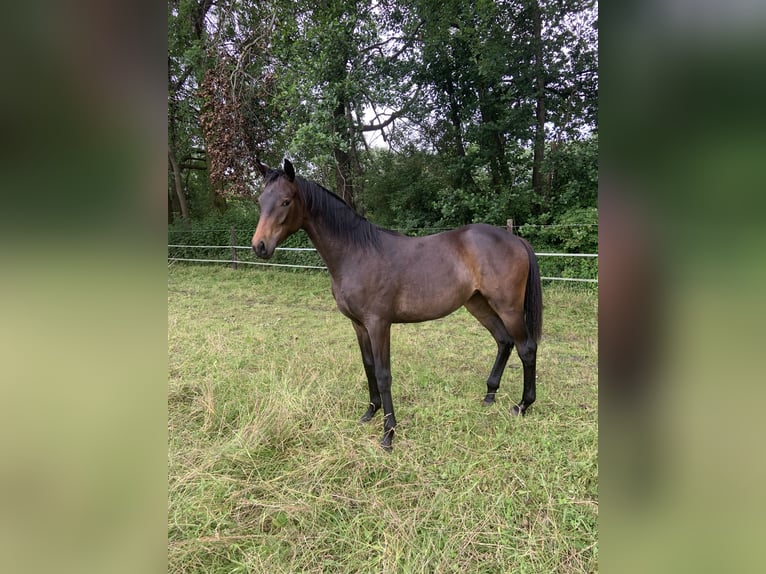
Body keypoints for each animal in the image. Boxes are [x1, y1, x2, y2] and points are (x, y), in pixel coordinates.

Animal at [252, 159, 540, 450]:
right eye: (260, 201)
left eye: (286, 201)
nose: (259, 246)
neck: (357, 253)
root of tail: (516, 240)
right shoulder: (358, 325)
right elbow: (368, 366)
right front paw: (370, 412)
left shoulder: (379, 324)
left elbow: (383, 374)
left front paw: (388, 433)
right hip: (478, 304)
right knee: (504, 341)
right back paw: (490, 394)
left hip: (508, 308)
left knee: (526, 348)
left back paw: (523, 405)